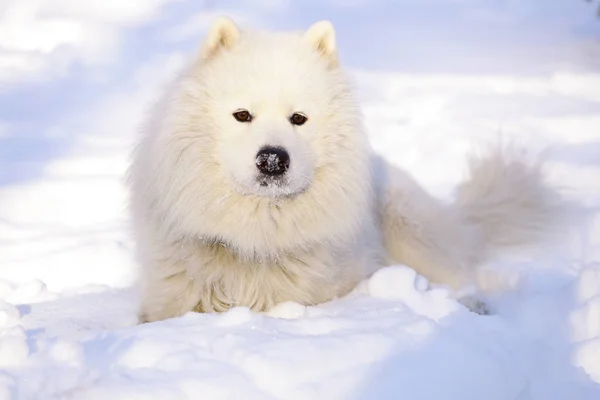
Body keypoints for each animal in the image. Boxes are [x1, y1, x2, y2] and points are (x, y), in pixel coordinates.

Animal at [127, 17, 568, 324]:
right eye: (242, 115)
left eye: (298, 118)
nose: (272, 159)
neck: (257, 241)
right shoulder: (167, 303)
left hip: (407, 223)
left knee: (460, 273)